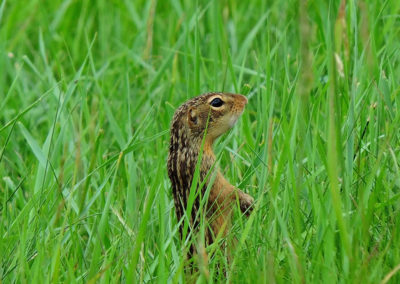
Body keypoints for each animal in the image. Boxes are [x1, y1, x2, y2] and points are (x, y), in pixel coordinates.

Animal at [167, 92, 255, 258]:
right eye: (216, 102)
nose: (245, 99)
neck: (185, 148)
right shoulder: (208, 173)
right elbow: (226, 192)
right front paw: (246, 200)